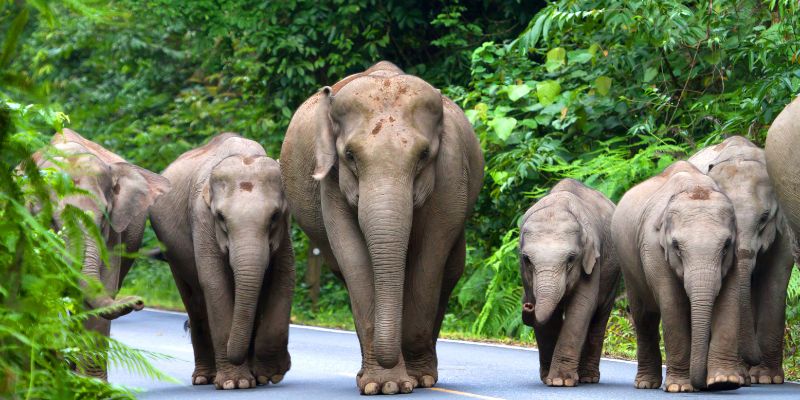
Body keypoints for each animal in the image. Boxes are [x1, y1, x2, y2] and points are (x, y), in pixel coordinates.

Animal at [34, 129, 171, 378]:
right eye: (54, 221)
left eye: (104, 216)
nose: (139, 301)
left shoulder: (114, 234)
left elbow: (101, 290)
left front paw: (92, 383)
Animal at [149, 133, 295, 390]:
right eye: (220, 217)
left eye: (274, 216)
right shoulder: (201, 219)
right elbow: (214, 283)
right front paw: (235, 383)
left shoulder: (285, 230)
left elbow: (284, 278)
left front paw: (269, 375)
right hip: (173, 253)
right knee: (195, 303)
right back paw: (204, 378)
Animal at [280, 61, 484, 395]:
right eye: (350, 155)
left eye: (423, 155)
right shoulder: (331, 184)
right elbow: (353, 259)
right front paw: (384, 385)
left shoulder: (451, 174)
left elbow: (430, 259)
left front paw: (416, 380)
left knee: (450, 271)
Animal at [519, 179, 620, 387]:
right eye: (527, 259)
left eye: (571, 259)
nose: (527, 305)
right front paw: (550, 379)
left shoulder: (593, 260)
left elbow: (581, 307)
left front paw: (560, 381)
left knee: (599, 317)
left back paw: (588, 378)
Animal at [611, 161, 743, 392]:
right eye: (676, 247)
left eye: (726, 246)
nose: (704, 386)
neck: (696, 186)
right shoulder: (652, 248)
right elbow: (672, 304)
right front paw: (680, 388)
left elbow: (728, 301)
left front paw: (724, 382)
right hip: (628, 266)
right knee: (644, 317)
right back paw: (646, 384)